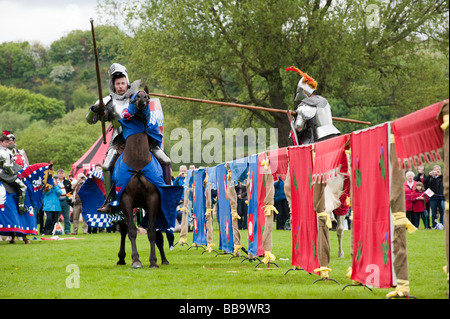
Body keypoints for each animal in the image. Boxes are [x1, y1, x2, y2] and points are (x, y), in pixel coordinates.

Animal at [115, 88, 170, 270]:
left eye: (146, 96)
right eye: (134, 97)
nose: (142, 100)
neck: (138, 161)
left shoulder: (153, 199)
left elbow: (152, 231)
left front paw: (153, 261)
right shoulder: (126, 199)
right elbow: (131, 231)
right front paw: (136, 260)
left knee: (158, 232)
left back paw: (164, 259)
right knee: (124, 229)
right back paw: (121, 258)